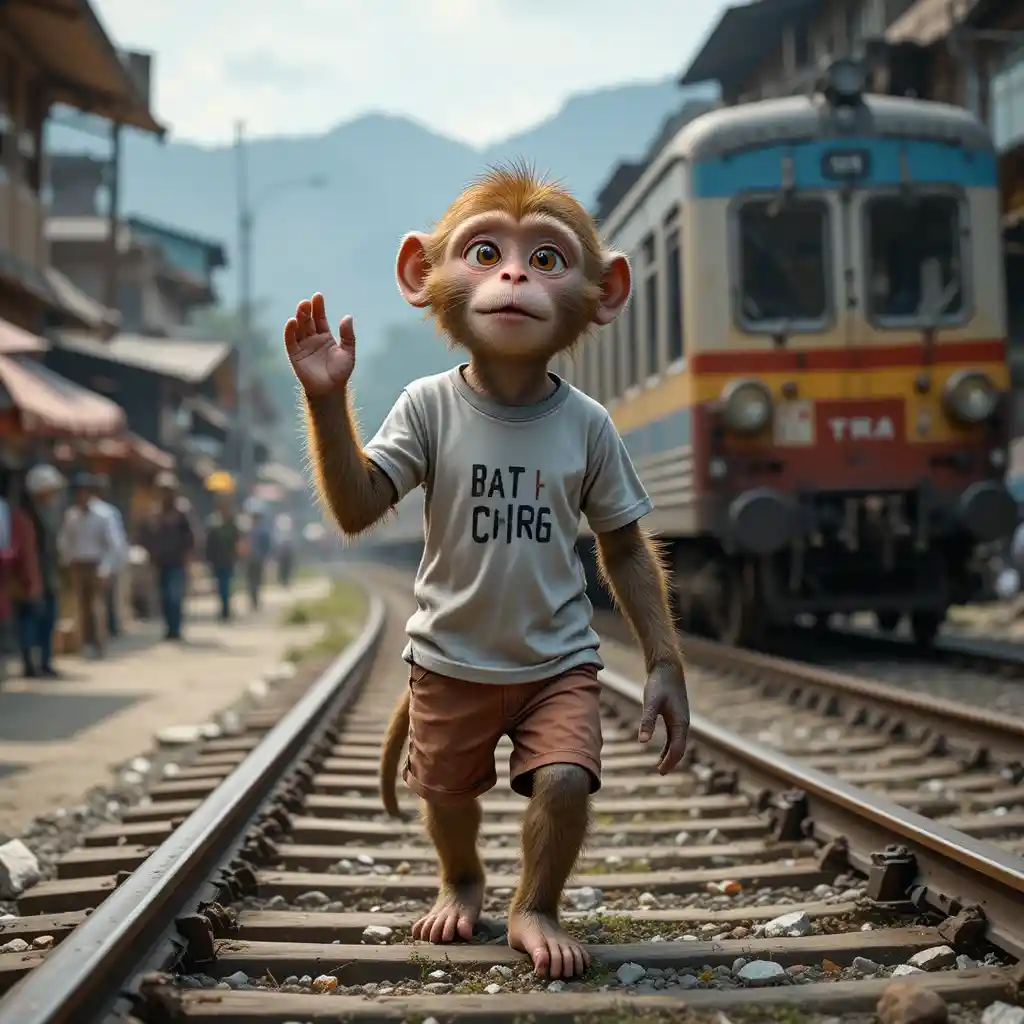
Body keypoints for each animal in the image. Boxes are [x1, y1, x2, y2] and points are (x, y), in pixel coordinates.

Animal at [284, 163, 689, 980]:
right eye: (483, 252)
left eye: (546, 258)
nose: (511, 276)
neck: (508, 392)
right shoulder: (415, 414)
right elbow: (362, 498)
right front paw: (321, 369)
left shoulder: (605, 438)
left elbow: (623, 549)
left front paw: (665, 692)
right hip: (444, 708)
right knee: (446, 788)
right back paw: (459, 900)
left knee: (554, 781)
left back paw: (535, 923)